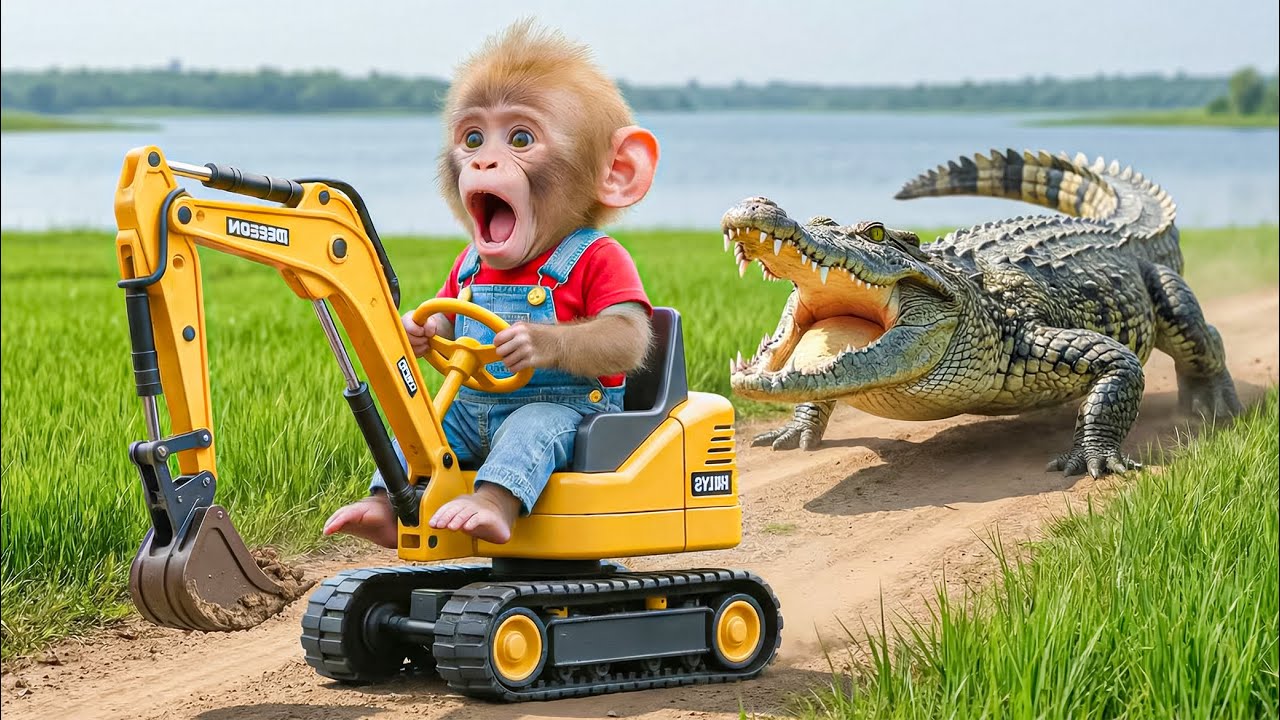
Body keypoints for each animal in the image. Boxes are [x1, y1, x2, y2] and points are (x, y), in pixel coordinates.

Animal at [323, 19, 660, 548]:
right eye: (474, 139)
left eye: (520, 139)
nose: (482, 163)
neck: (523, 262)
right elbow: (444, 312)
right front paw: (417, 331)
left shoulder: (611, 263)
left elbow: (623, 330)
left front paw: (527, 340)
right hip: (456, 426)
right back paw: (373, 513)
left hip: (556, 423)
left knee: (527, 433)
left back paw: (479, 511)